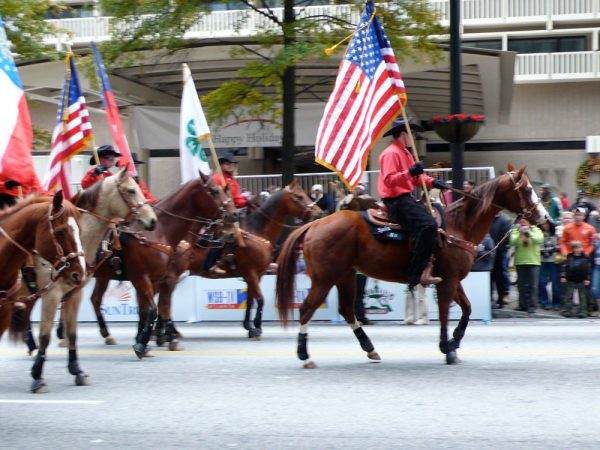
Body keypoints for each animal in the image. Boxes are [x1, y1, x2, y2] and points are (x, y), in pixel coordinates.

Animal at [89, 173, 234, 358]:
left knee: (94, 299)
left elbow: (159, 307)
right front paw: (148, 340)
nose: (234, 215)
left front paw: (159, 337)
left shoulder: (162, 279)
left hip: (101, 276)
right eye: (214, 190)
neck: (160, 232)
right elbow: (153, 308)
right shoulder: (146, 277)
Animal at [154, 178, 318, 342]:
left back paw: (164, 331)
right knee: (165, 299)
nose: (317, 213)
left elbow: (251, 300)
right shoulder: (250, 273)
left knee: (163, 298)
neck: (256, 232)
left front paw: (249, 326)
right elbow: (260, 299)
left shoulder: (257, 275)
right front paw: (257, 327)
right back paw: (164, 332)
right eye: (299, 197)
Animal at [276, 165, 548, 366]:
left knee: (347, 310)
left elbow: (468, 309)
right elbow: (445, 313)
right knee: (307, 309)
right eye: (527, 189)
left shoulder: (453, 279)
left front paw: (454, 342)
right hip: (325, 278)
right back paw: (305, 355)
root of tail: (314, 224)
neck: (458, 226)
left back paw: (370, 348)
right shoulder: (447, 281)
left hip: (346, 276)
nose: (545, 218)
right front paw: (447, 348)